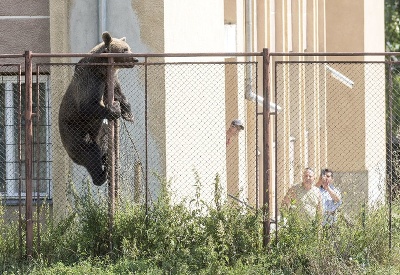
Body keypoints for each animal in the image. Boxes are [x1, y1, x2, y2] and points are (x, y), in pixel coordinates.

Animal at [58, 31, 138, 188]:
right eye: (124, 50)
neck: (104, 69)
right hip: (75, 132)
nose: (135, 58)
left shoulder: (109, 80)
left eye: (129, 47)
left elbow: (118, 94)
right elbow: (87, 105)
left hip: (101, 132)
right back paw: (102, 174)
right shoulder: (91, 79)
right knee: (89, 152)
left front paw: (128, 114)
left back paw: (109, 160)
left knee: (104, 142)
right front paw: (115, 109)